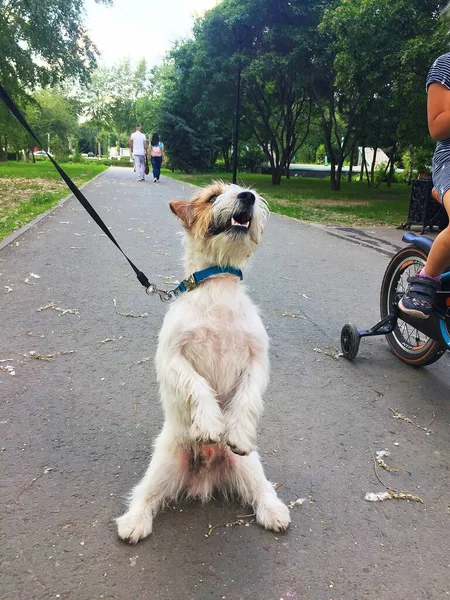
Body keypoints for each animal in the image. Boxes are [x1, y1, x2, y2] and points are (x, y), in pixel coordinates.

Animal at [116, 180, 290, 540]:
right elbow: (196, 384)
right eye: (212, 197)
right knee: (145, 494)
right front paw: (211, 423)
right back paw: (133, 521)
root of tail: (205, 478)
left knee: (261, 489)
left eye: (247, 191)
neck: (218, 283)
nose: (248, 197)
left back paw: (274, 511)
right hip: (163, 464)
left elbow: (247, 398)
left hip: (249, 465)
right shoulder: (172, 359)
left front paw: (236, 431)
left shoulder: (257, 361)